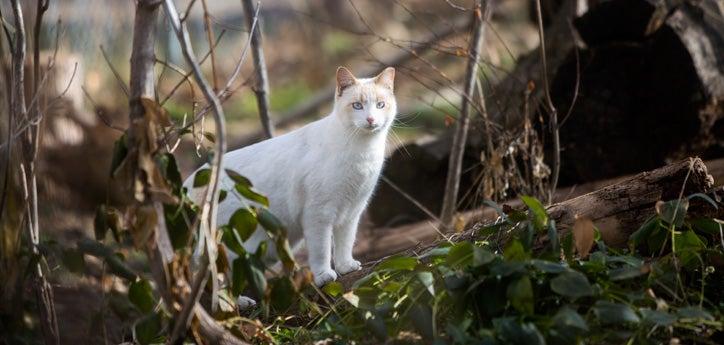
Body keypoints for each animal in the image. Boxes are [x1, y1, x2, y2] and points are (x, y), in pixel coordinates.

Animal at [181, 65, 396, 284]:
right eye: (357, 106)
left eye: (380, 105)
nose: (371, 119)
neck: (363, 150)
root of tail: (188, 185)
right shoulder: (318, 214)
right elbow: (321, 251)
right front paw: (323, 276)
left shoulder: (352, 212)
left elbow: (345, 244)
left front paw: (346, 267)